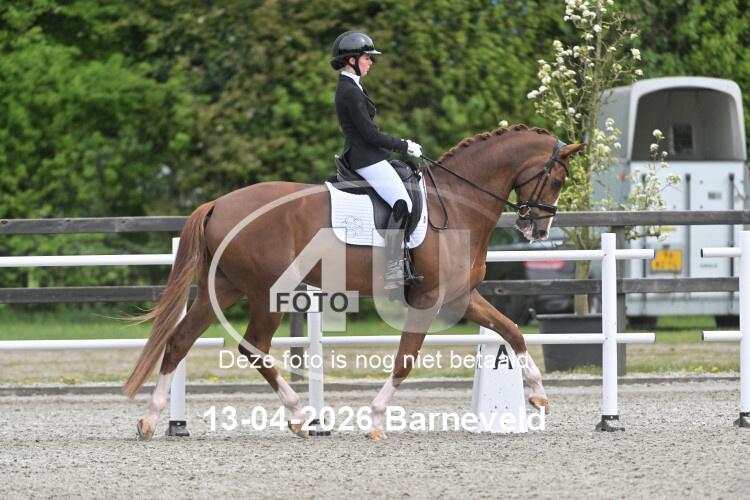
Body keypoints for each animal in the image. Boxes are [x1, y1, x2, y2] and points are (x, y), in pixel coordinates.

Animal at [123, 124, 583, 440]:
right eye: (558, 179)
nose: (539, 230)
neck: (455, 204)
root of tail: (219, 203)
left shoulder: (460, 297)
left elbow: (513, 330)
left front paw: (539, 394)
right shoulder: (429, 300)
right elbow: (405, 360)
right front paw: (376, 419)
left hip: (222, 288)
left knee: (180, 341)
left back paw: (151, 419)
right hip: (268, 293)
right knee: (253, 347)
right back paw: (300, 416)